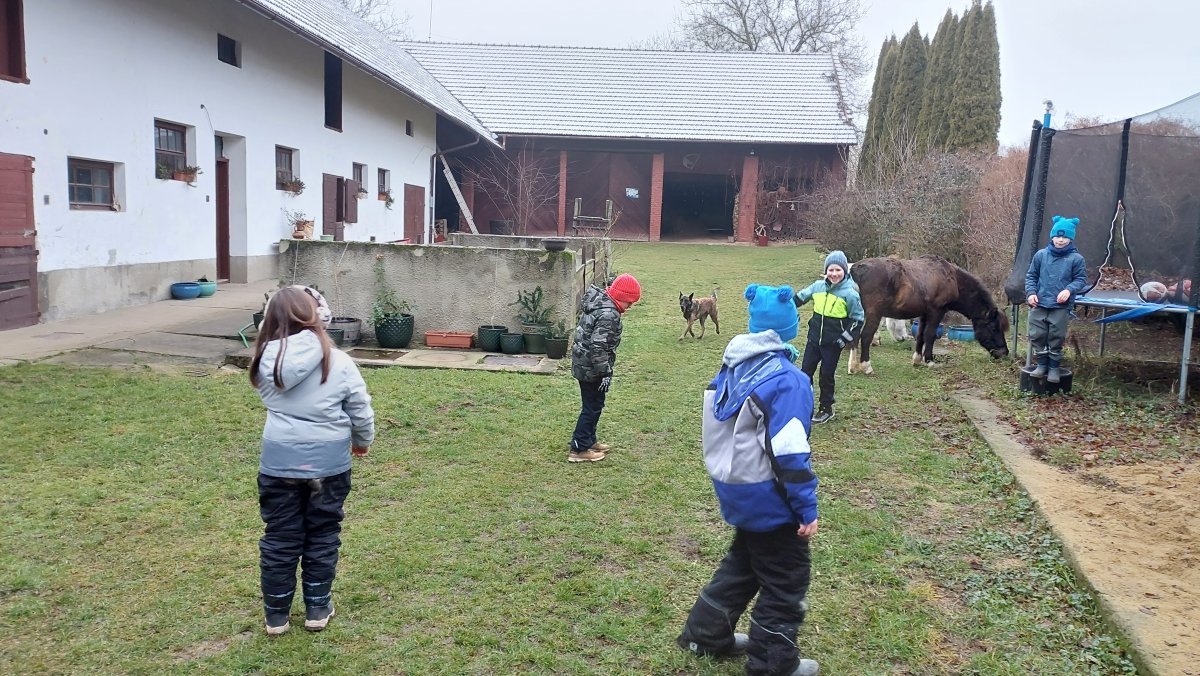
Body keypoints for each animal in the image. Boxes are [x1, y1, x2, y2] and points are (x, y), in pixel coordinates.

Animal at [846, 255, 1009, 374]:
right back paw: (866, 366)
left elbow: (920, 335)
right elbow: (930, 335)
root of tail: (855, 270)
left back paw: (852, 366)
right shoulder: (937, 312)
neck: (952, 279)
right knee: (865, 336)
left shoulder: (924, 314)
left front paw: (917, 360)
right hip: (874, 314)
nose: (1004, 353)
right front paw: (929, 361)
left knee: (855, 335)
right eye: (994, 328)